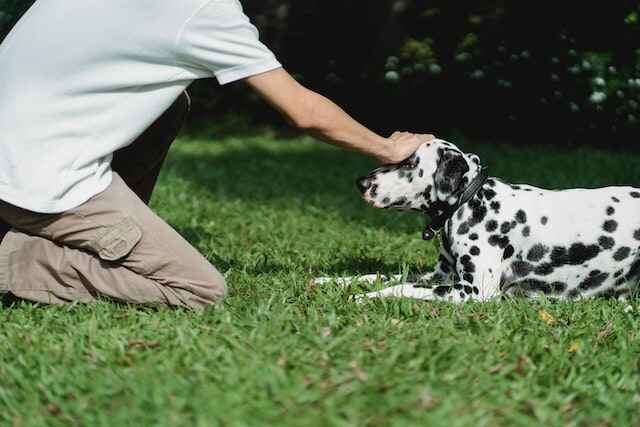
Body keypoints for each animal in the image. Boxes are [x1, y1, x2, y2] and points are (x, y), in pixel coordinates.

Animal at [312, 139, 640, 302]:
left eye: (408, 163)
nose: (361, 183)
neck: (471, 202)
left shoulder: (471, 290)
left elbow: (402, 287)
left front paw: (367, 296)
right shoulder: (439, 275)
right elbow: (379, 275)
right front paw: (332, 281)